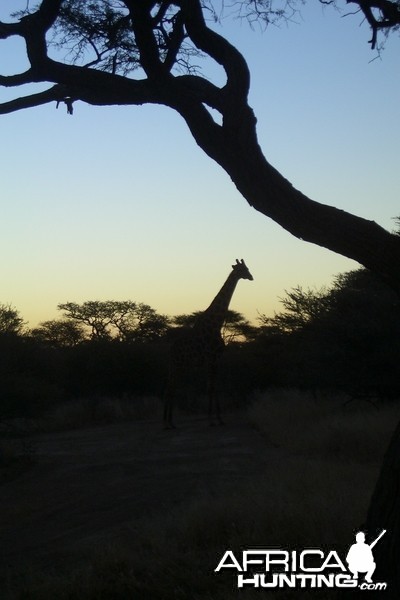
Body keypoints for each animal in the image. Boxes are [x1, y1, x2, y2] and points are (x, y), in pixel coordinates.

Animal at [162, 258, 253, 426]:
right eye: (243, 269)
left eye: (247, 268)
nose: (251, 277)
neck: (216, 324)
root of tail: (170, 350)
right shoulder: (212, 358)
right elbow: (211, 387)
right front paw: (212, 419)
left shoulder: (215, 359)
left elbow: (213, 386)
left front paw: (218, 418)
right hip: (177, 365)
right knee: (170, 387)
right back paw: (167, 423)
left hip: (178, 366)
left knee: (170, 387)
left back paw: (169, 422)